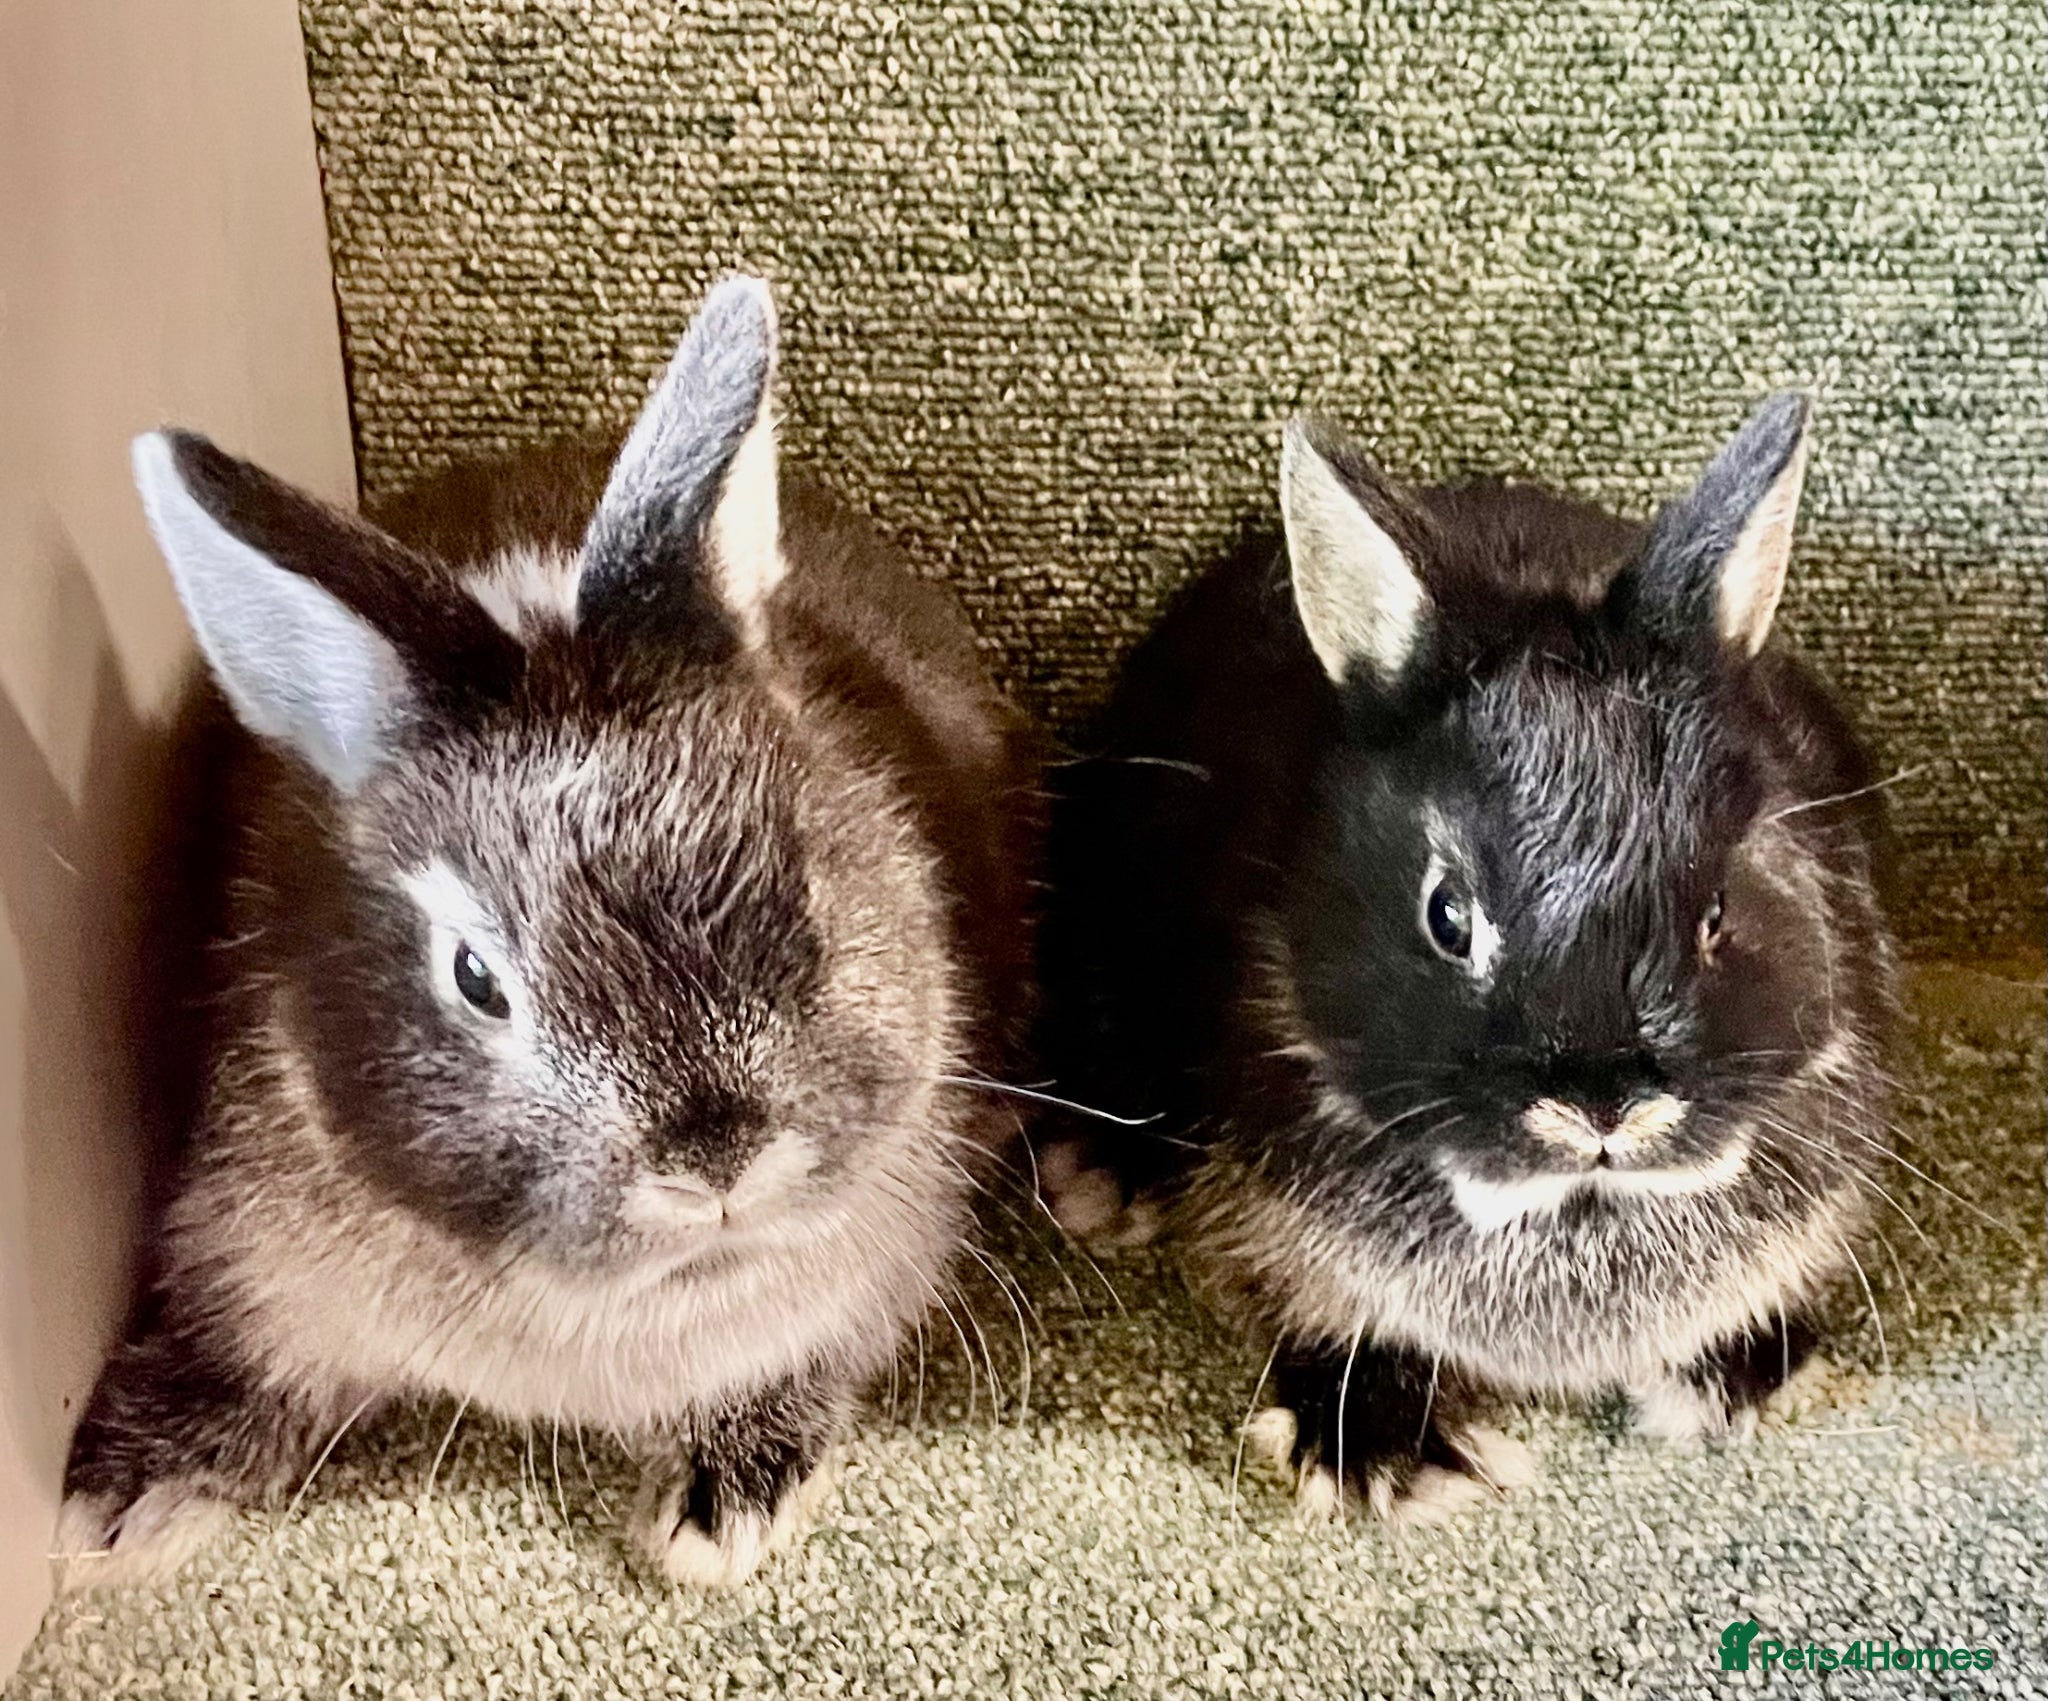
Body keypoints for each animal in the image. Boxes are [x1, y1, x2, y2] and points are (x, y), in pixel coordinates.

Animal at [1038, 393, 1897, 1521]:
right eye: (1446, 914)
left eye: (1718, 909)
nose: (1601, 1106)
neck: (1576, 1210)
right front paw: (1380, 1457)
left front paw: (1736, 1380)